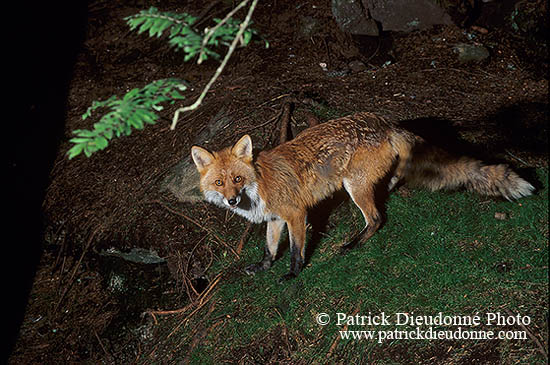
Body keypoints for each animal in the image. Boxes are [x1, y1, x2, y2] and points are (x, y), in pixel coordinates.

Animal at [192, 112, 536, 280]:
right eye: (220, 182)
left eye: (238, 179)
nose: (232, 200)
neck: (259, 185)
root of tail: (386, 123)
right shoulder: (274, 219)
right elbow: (269, 250)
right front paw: (263, 268)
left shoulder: (295, 214)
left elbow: (295, 252)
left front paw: (292, 274)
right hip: (365, 181)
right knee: (391, 182)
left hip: (353, 186)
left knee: (376, 218)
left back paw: (353, 243)